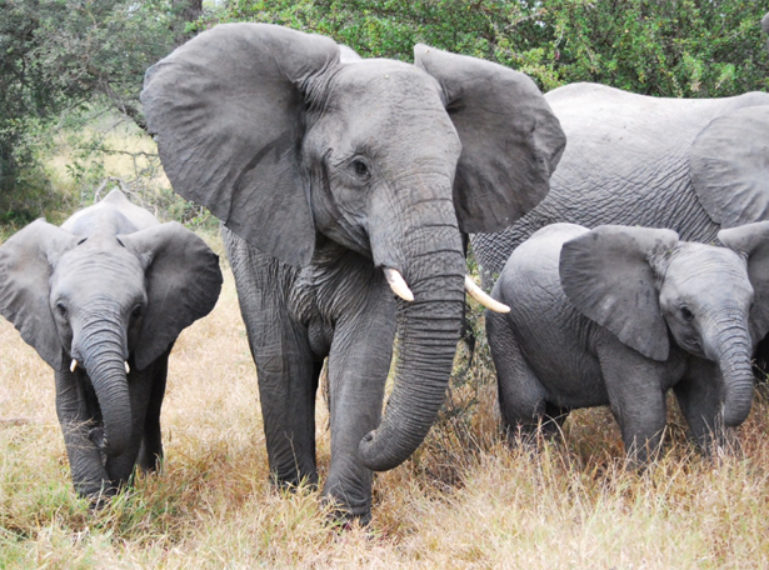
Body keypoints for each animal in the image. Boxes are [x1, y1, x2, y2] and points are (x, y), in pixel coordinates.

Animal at [0, 189, 222, 500]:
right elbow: (69, 404)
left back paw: (152, 476)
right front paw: (95, 502)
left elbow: (136, 401)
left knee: (153, 402)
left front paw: (117, 496)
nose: (97, 435)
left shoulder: (152, 326)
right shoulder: (51, 330)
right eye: (61, 309)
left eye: (137, 311)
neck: (100, 235)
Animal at [142, 23, 564, 520]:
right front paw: (294, 498)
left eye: (455, 168)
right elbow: (281, 356)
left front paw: (341, 519)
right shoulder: (259, 230)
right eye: (360, 169)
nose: (371, 436)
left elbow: (362, 358)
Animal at [486, 220, 768, 460]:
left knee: (554, 415)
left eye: (751, 305)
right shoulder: (615, 335)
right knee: (526, 409)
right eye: (686, 312)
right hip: (504, 327)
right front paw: (644, 482)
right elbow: (644, 412)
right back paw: (528, 467)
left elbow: (706, 404)